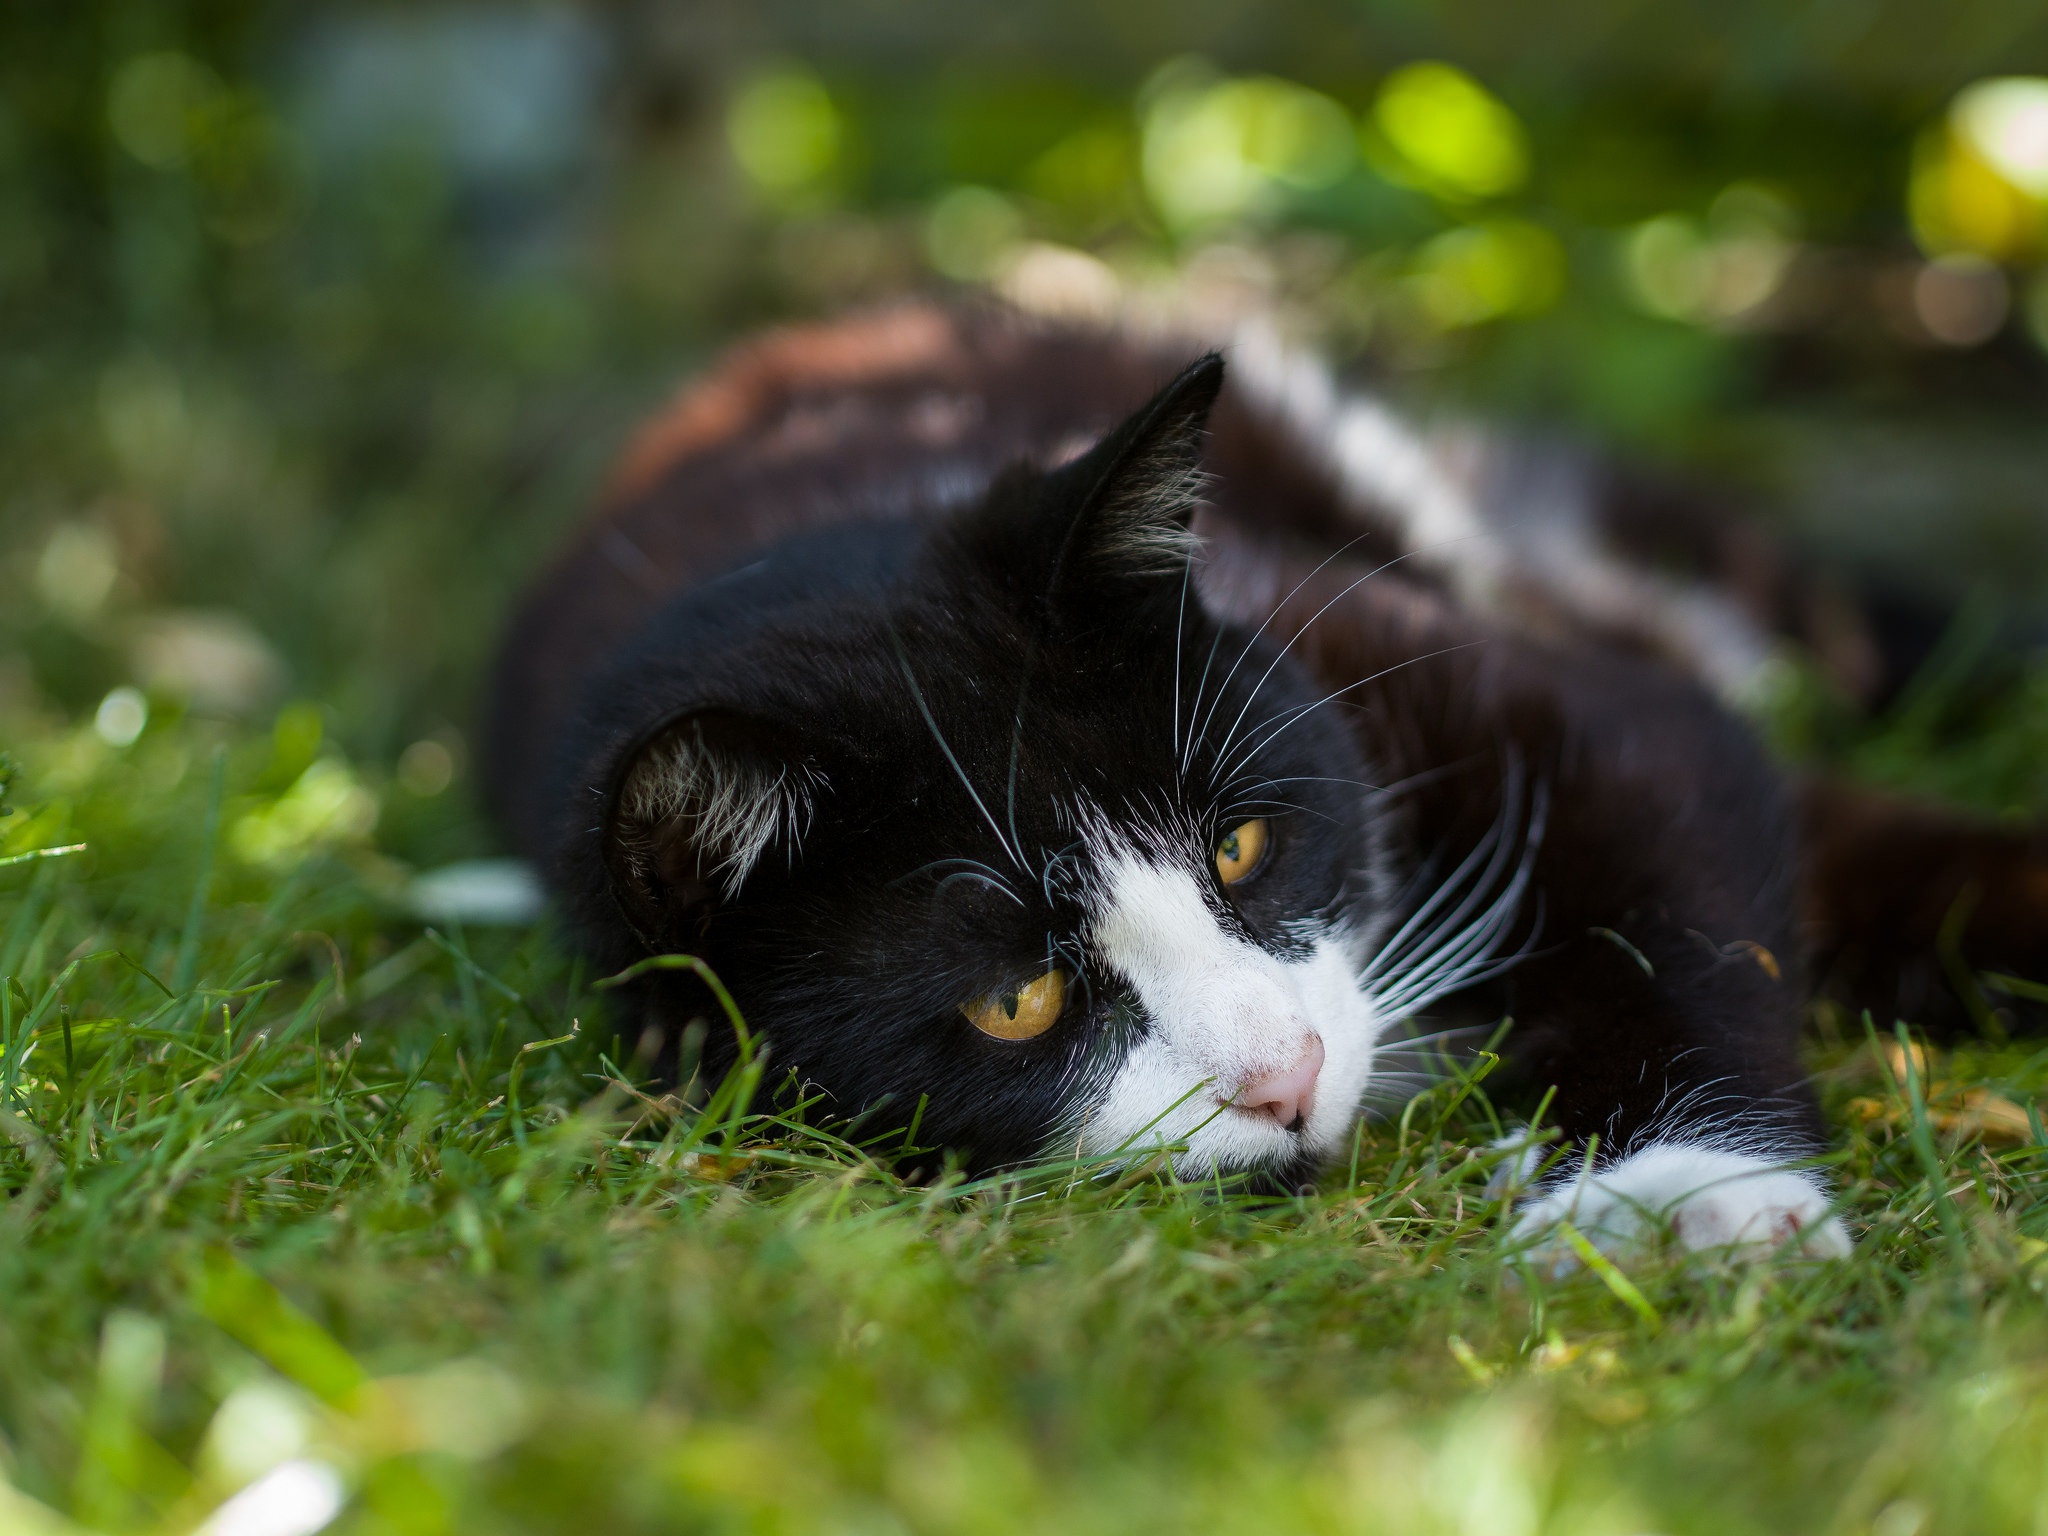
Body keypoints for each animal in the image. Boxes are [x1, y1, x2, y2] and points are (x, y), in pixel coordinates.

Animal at [483, 301, 2048, 1261]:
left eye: (1238, 849)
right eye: (1015, 1002)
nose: (1284, 1076)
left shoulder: (1370, 637)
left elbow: (1669, 820)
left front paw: (1690, 1200)